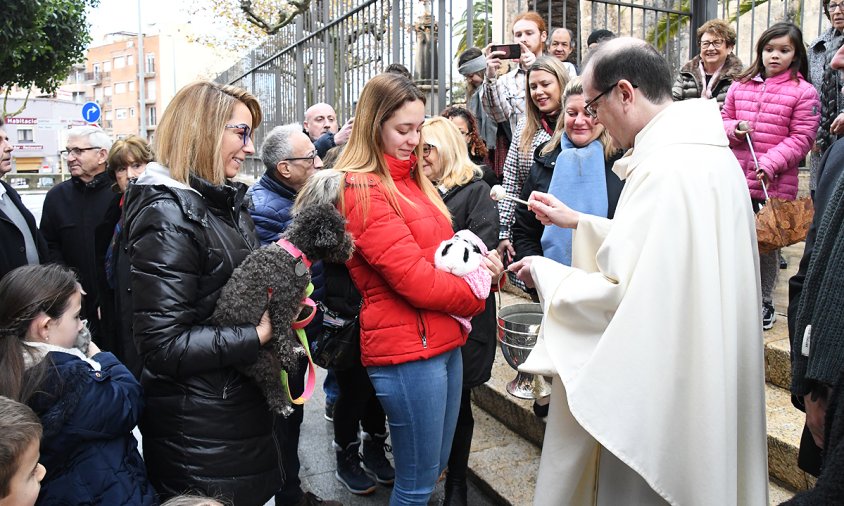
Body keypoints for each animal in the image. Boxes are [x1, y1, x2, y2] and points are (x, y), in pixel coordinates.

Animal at [214, 204, 356, 418]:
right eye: (340, 232)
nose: (353, 245)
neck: (296, 254)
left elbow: (291, 329)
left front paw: (295, 346)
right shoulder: (280, 304)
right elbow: (282, 333)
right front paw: (289, 356)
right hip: (262, 360)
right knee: (270, 383)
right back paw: (282, 405)